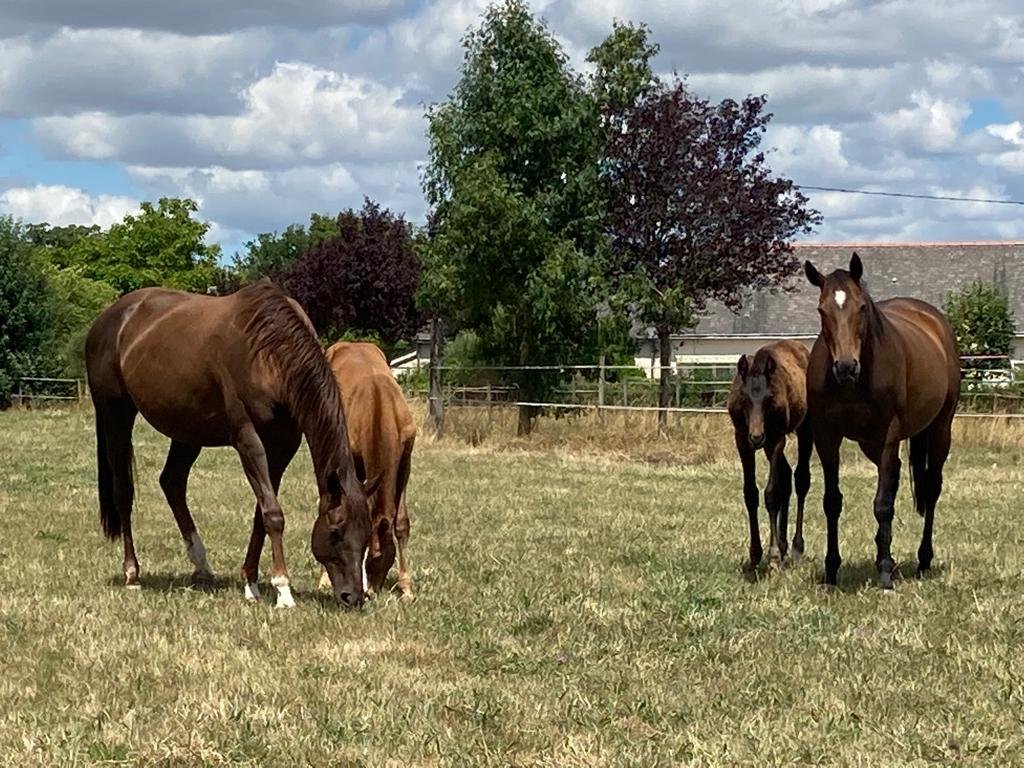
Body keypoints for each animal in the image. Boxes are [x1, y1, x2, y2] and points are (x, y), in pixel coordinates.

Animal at [84, 279, 373, 608]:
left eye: (367, 534)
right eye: (336, 531)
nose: (353, 595)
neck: (267, 351)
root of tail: (108, 319)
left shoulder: (283, 445)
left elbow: (262, 513)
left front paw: (251, 583)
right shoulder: (248, 439)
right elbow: (273, 514)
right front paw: (283, 590)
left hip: (188, 431)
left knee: (172, 482)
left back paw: (201, 566)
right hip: (116, 415)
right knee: (124, 491)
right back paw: (132, 574)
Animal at [317, 341, 416, 599]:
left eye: (382, 558)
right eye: (372, 556)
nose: (371, 591)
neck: (380, 406)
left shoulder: (405, 462)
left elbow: (401, 523)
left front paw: (406, 588)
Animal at [727, 340, 813, 571]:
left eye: (769, 398)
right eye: (745, 397)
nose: (756, 436)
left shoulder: (775, 440)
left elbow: (772, 493)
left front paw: (773, 556)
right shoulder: (742, 441)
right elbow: (751, 494)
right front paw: (755, 554)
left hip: (804, 430)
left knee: (801, 479)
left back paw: (795, 547)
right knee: (786, 476)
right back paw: (783, 545)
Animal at [804, 253, 960, 589]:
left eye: (862, 307)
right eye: (822, 309)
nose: (845, 367)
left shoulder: (889, 434)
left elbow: (883, 504)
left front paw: (886, 574)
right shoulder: (826, 435)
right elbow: (832, 501)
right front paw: (831, 571)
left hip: (940, 428)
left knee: (931, 488)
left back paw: (922, 560)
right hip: (870, 443)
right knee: (895, 478)